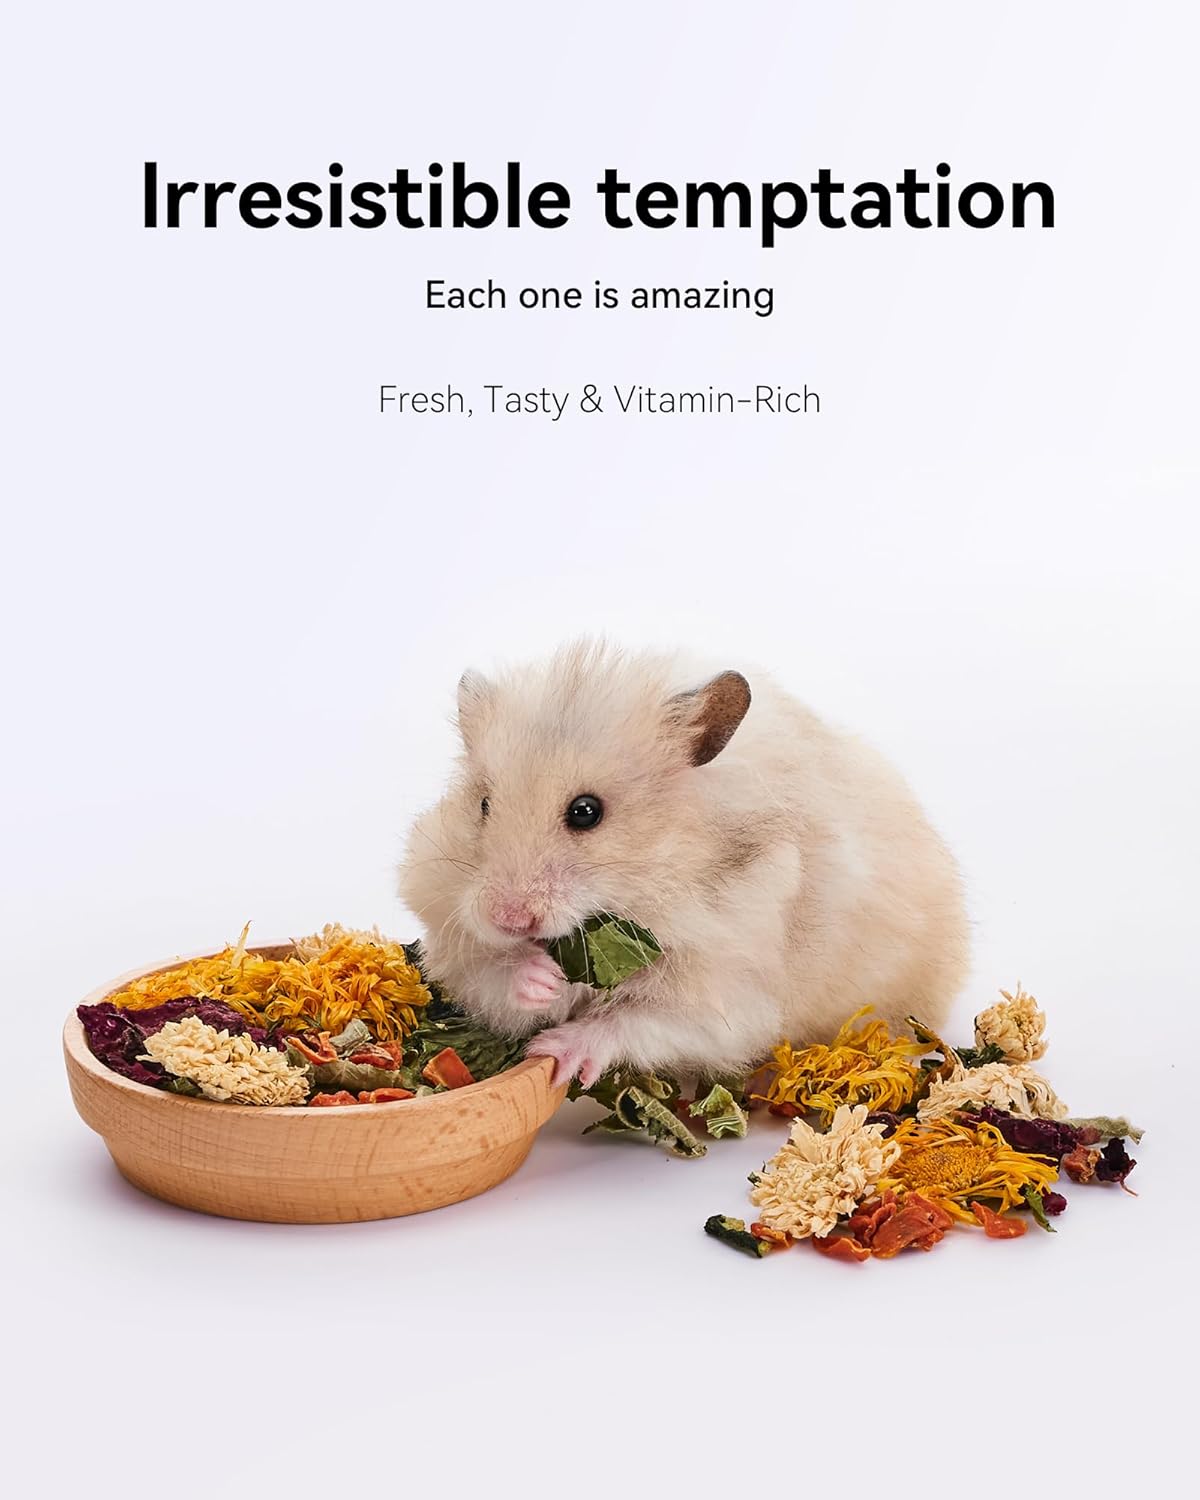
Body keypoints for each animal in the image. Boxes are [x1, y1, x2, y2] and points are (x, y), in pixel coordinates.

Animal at [399, 641, 968, 1088]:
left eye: (586, 812)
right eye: (483, 805)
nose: (509, 918)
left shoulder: (728, 994)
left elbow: (643, 1018)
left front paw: (557, 1052)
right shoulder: (446, 927)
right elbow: (487, 972)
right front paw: (542, 980)